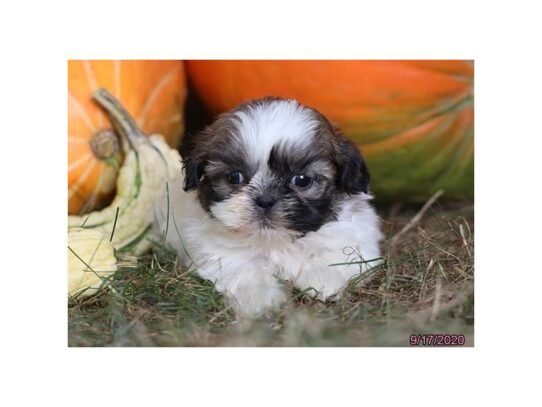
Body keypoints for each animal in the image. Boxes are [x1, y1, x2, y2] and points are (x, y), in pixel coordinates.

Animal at [154, 97, 382, 318]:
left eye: (302, 180)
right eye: (234, 177)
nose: (265, 200)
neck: (276, 242)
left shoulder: (358, 236)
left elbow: (339, 252)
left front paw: (323, 278)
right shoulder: (218, 253)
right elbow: (244, 270)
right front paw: (260, 299)